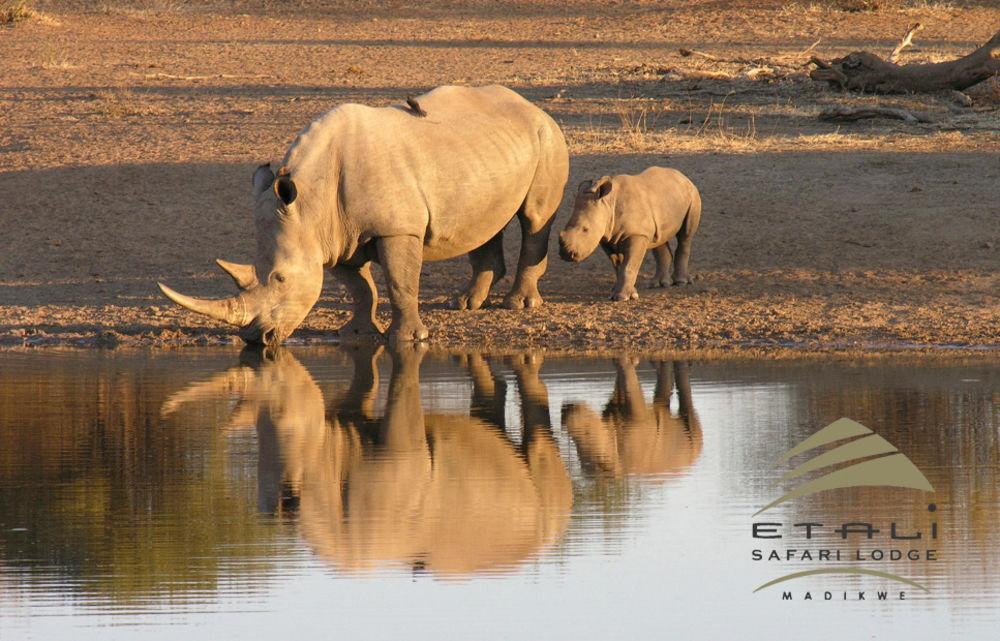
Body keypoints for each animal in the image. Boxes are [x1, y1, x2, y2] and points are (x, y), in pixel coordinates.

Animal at [556, 168, 704, 302]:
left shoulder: (637, 234)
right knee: (659, 238)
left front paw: (622, 298)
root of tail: (682, 176)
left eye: (585, 229)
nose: (566, 254)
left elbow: (628, 265)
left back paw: (681, 282)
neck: (608, 204)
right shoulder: (607, 237)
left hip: (692, 194)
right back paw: (658, 284)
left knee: (685, 236)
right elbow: (618, 265)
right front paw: (623, 293)